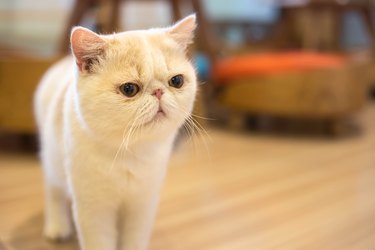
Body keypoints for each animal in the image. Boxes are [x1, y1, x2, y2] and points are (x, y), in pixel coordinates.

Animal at [34, 15, 198, 250]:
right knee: (53, 191)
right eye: (129, 89)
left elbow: (134, 240)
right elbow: (99, 242)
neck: (130, 152)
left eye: (176, 81)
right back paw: (57, 228)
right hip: (52, 160)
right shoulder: (94, 210)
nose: (158, 91)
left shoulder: (142, 206)